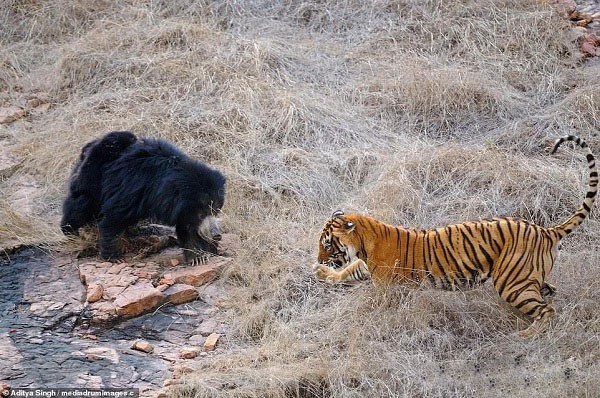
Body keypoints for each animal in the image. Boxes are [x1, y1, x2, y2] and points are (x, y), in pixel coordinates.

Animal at [61, 133, 225, 264]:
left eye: (215, 210)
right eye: (202, 213)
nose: (217, 235)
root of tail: (89, 146)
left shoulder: (181, 210)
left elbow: (188, 230)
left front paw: (197, 258)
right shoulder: (136, 186)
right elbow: (115, 216)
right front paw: (114, 257)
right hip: (93, 176)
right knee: (82, 205)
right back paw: (70, 230)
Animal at [314, 135, 596, 338]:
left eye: (327, 244)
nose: (318, 259)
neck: (365, 241)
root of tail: (546, 230)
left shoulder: (387, 286)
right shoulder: (365, 266)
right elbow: (348, 271)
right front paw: (322, 273)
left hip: (512, 283)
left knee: (547, 309)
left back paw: (527, 334)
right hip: (526, 277)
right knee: (549, 292)